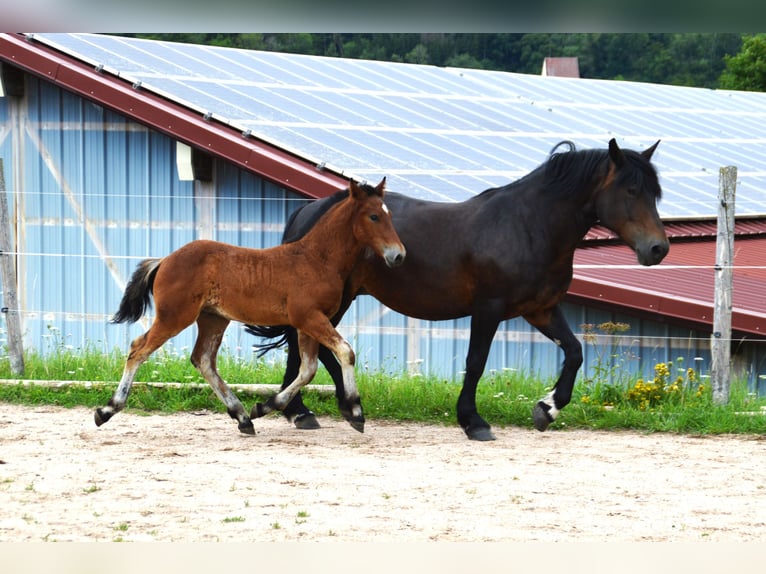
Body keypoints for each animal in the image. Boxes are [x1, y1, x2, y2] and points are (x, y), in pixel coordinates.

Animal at [95, 178, 406, 434]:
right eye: (374, 216)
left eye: (390, 215)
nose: (399, 255)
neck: (316, 259)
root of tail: (165, 260)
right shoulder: (308, 318)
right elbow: (345, 352)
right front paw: (356, 411)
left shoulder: (307, 324)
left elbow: (308, 370)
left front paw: (264, 407)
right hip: (175, 316)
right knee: (139, 348)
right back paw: (107, 410)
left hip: (213, 319)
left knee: (203, 360)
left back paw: (243, 417)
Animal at [247, 139, 669, 441]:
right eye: (631, 190)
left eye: (654, 192)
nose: (658, 249)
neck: (528, 226)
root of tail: (311, 210)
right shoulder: (488, 308)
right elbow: (476, 362)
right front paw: (473, 421)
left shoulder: (541, 309)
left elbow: (575, 352)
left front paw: (546, 409)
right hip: (336, 300)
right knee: (315, 349)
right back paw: (321, 410)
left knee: (307, 349)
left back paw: (303, 412)